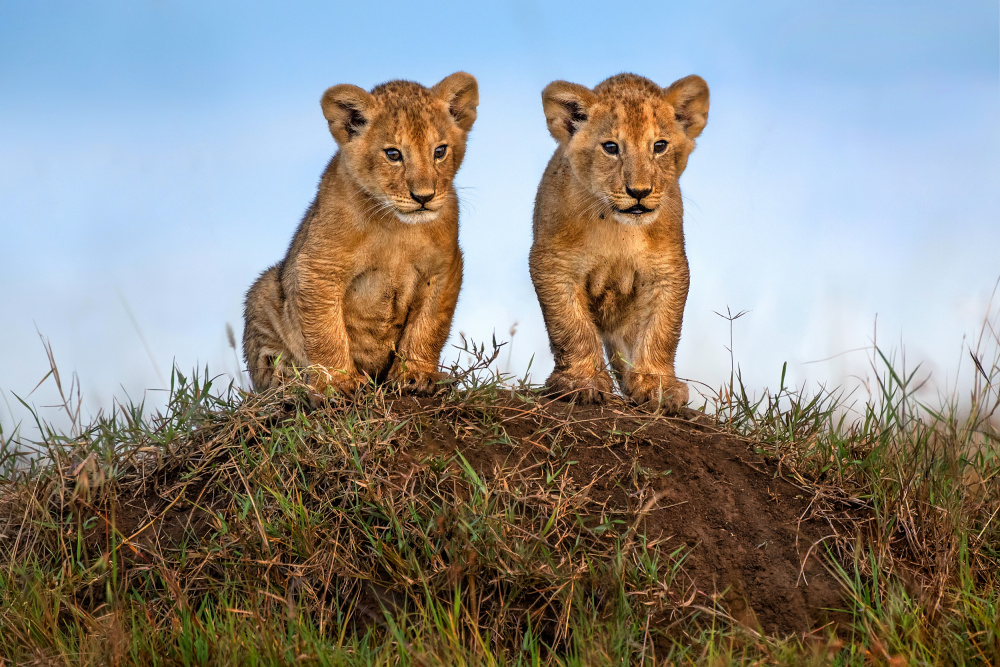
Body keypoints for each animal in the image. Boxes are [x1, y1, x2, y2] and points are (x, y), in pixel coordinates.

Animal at [242, 72, 479, 397]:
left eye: (439, 151)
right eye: (393, 154)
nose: (424, 197)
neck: (395, 226)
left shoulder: (444, 267)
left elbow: (428, 325)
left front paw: (416, 376)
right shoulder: (318, 266)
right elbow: (326, 331)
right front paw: (338, 383)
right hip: (264, 290)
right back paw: (288, 384)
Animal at [529, 73, 709, 408]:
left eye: (659, 146)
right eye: (611, 147)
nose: (638, 191)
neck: (617, 228)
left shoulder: (667, 268)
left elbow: (661, 329)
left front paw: (657, 386)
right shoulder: (554, 263)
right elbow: (571, 327)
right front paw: (582, 382)